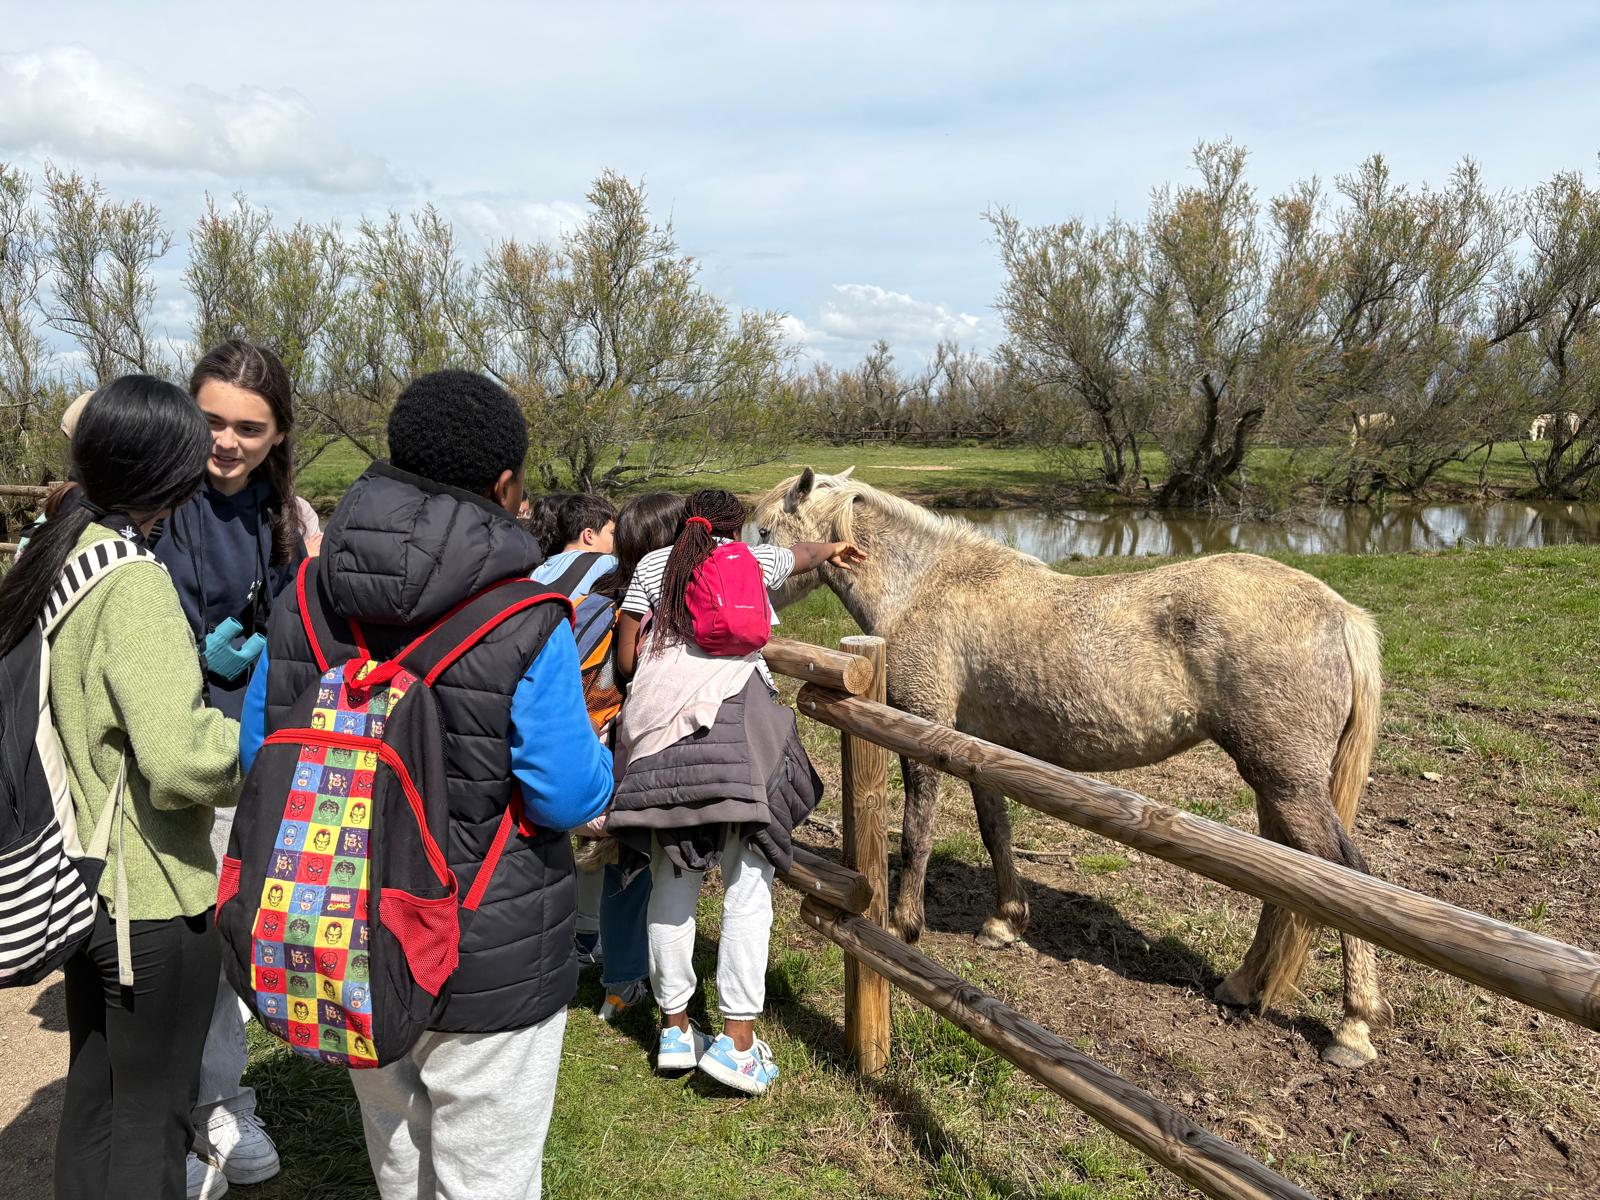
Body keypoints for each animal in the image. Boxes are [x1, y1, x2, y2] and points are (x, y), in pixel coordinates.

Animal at [754, 468, 1391, 1067]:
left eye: (762, 532)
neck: (925, 584)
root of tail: (1341, 614)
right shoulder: (977, 744)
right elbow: (995, 830)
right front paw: (1005, 922)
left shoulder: (922, 727)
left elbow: (916, 832)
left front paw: (903, 925)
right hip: (1272, 784)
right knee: (1286, 887)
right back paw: (1242, 985)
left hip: (1288, 783)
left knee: (1345, 877)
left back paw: (1353, 1029)